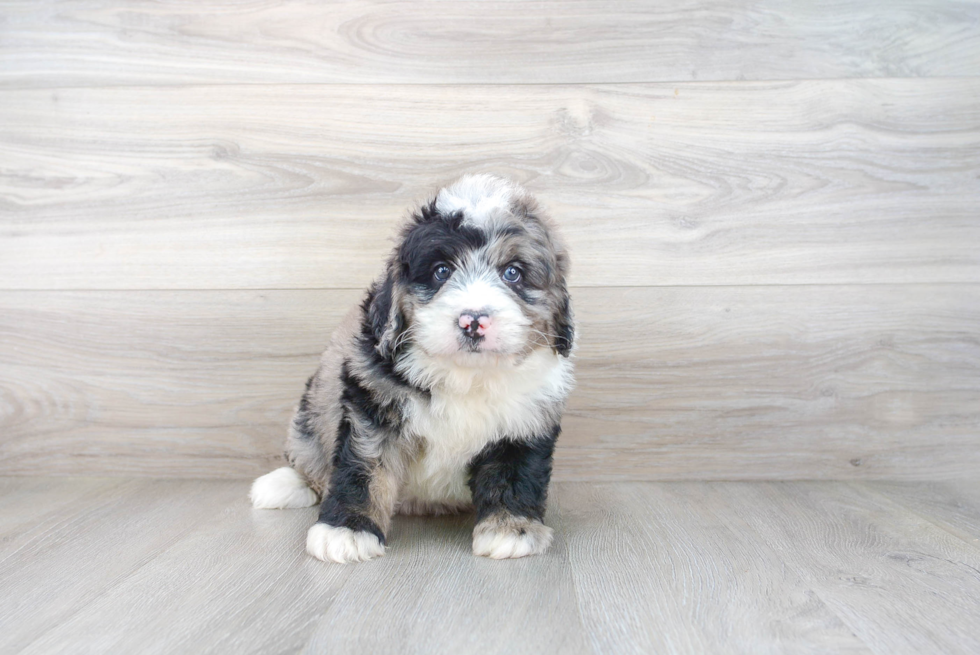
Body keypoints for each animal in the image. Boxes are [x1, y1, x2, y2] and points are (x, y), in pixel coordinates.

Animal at [249, 174, 580, 564]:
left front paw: (510, 529)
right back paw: (282, 484)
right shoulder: (372, 408)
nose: (473, 321)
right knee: (308, 450)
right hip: (312, 408)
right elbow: (364, 468)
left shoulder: (526, 421)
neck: (466, 376)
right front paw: (347, 530)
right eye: (441, 271)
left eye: (513, 273)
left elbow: (514, 474)